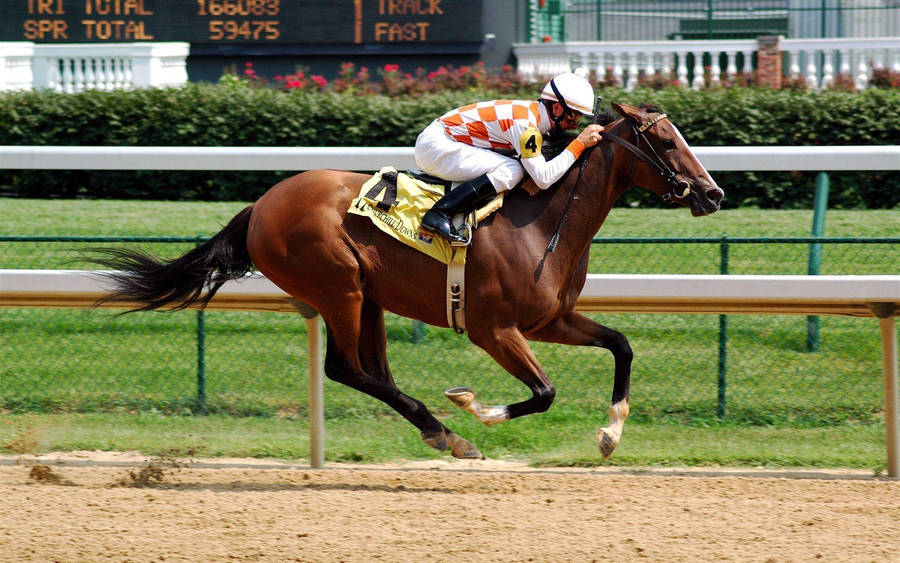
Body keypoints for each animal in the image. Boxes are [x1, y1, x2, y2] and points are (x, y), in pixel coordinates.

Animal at [93, 103, 724, 460]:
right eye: (666, 141)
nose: (713, 192)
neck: (544, 220)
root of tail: (260, 205)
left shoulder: (549, 320)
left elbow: (621, 345)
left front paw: (611, 434)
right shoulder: (494, 329)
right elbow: (544, 393)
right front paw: (474, 407)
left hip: (368, 297)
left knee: (373, 372)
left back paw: (439, 432)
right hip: (338, 286)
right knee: (345, 368)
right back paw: (449, 432)